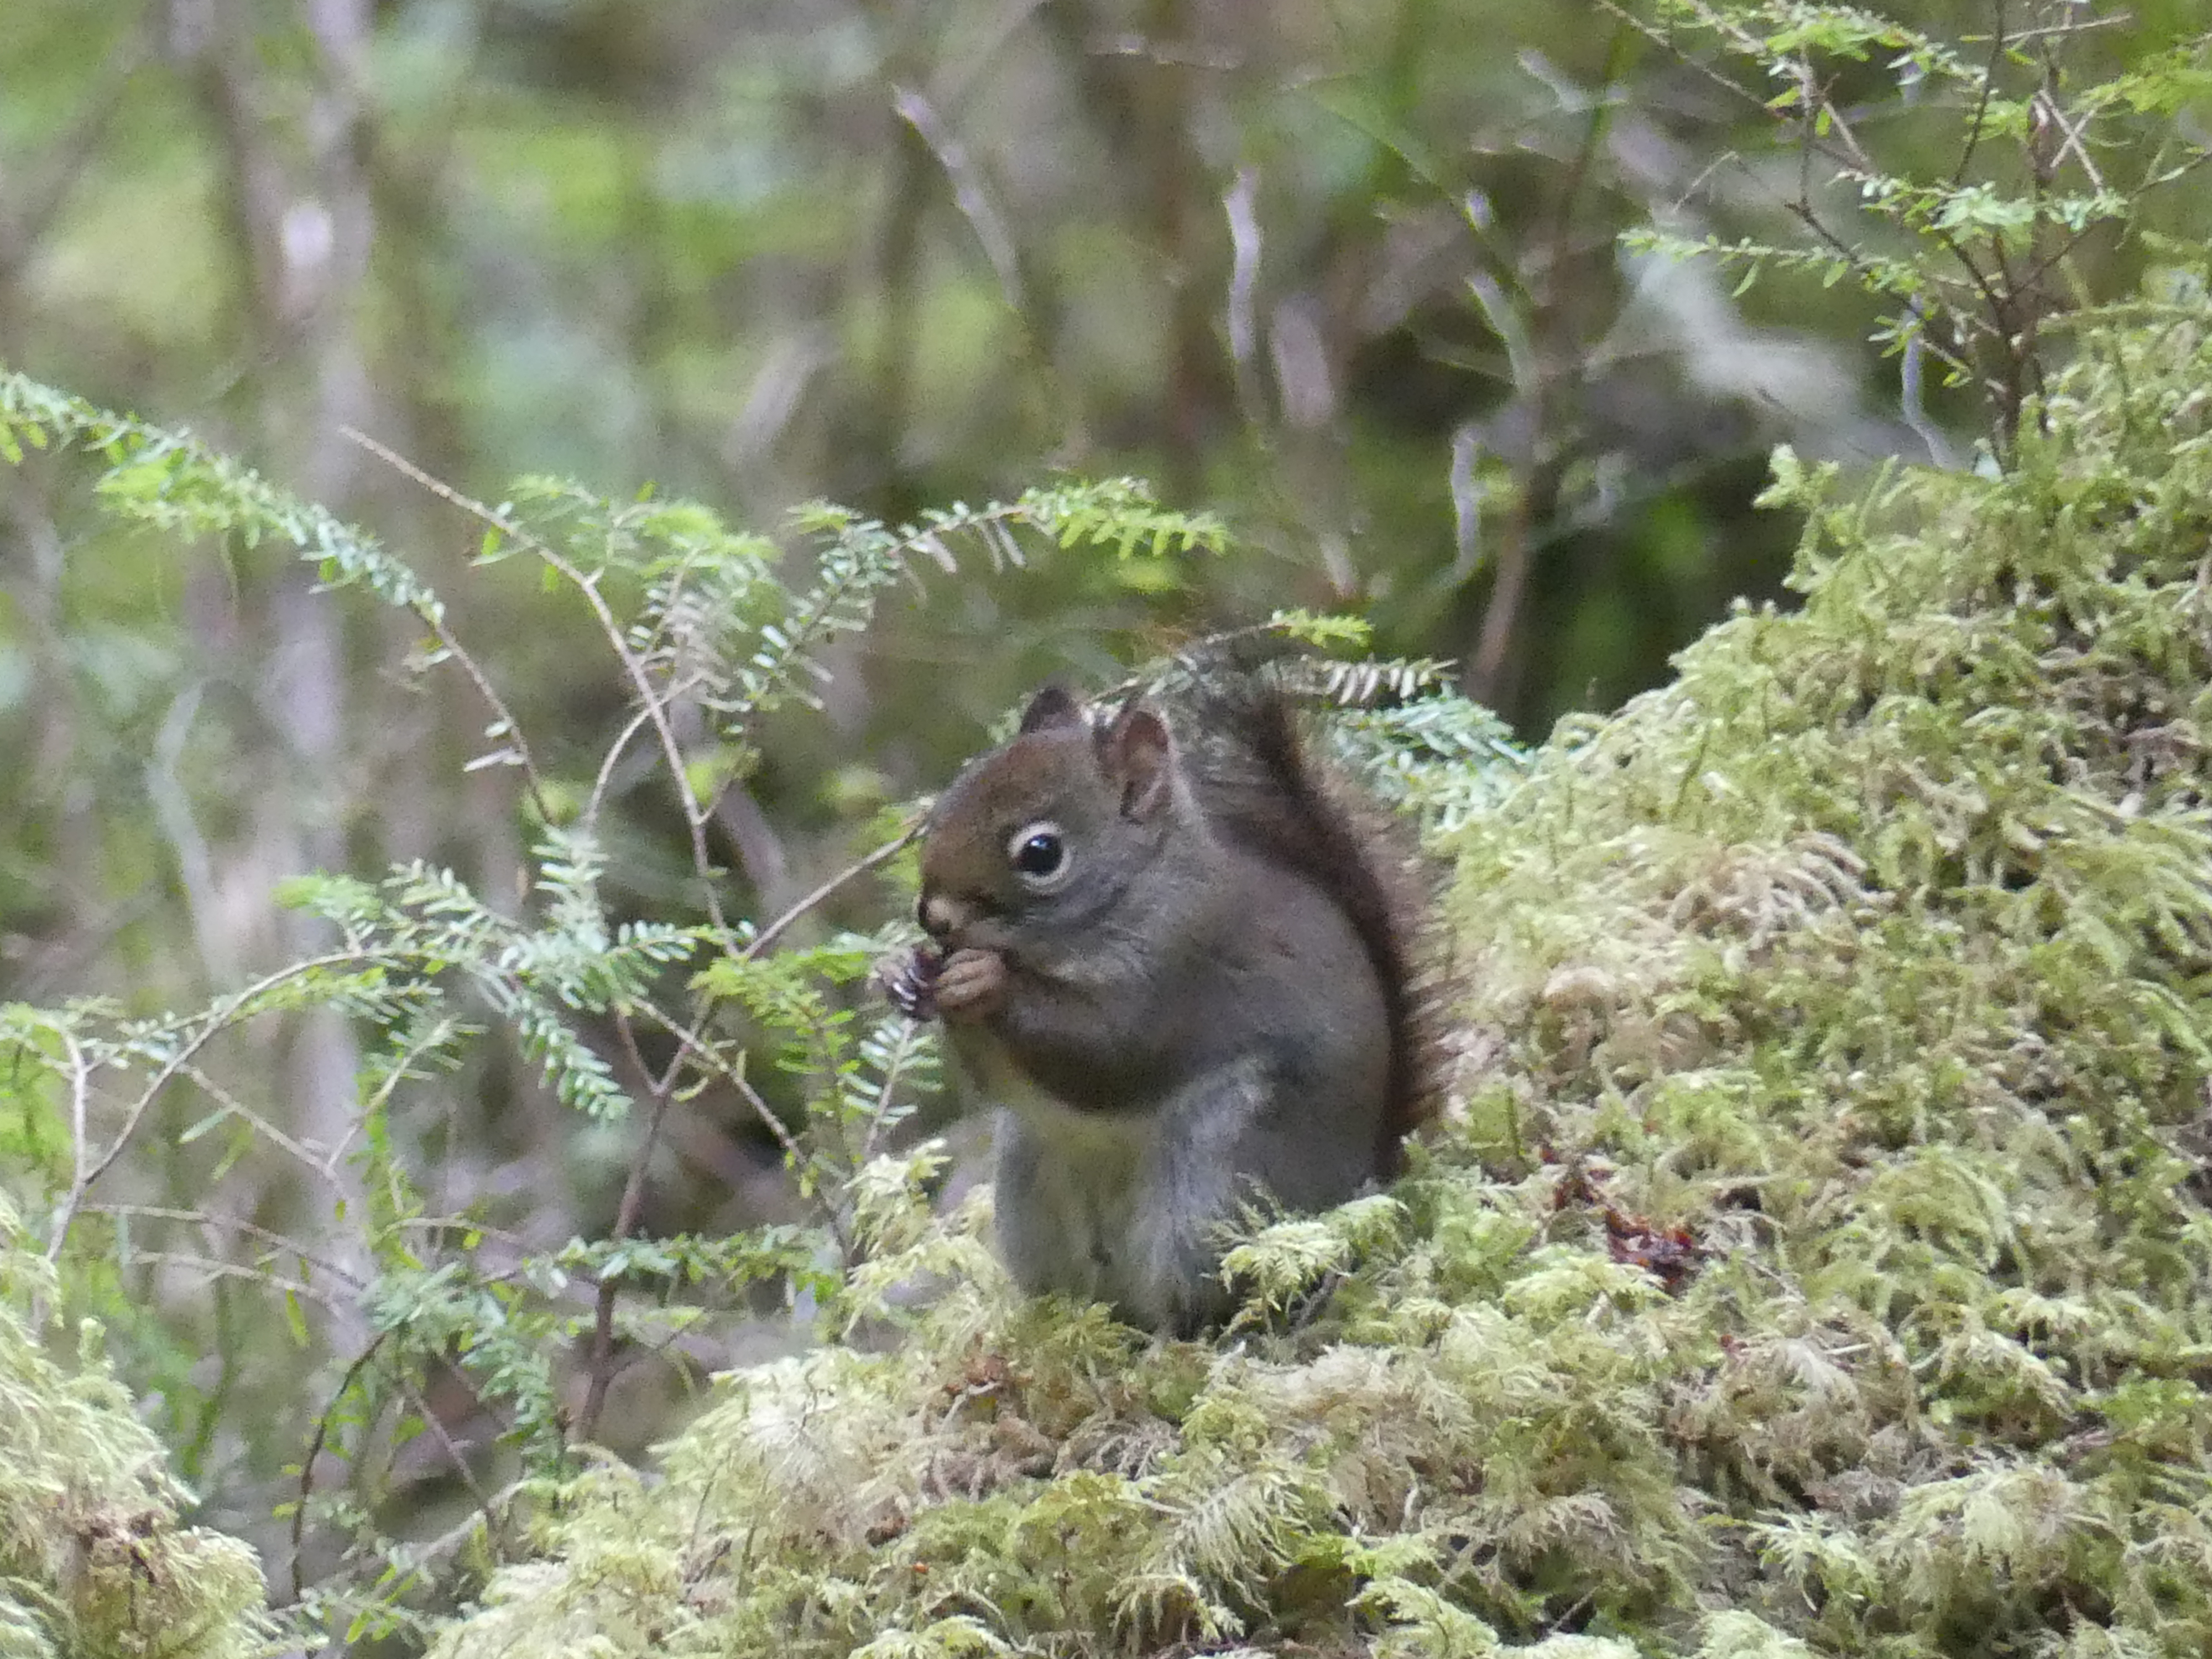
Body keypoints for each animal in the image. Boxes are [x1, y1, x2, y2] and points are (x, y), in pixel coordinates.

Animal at [889, 672, 1436, 1334]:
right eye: (947, 802)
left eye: (1041, 854)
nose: (933, 917)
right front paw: (904, 975)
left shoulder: (1182, 967)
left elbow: (1108, 1051)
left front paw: (984, 981)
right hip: (1030, 1188)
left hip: (1216, 1183)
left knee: (1208, 1301)